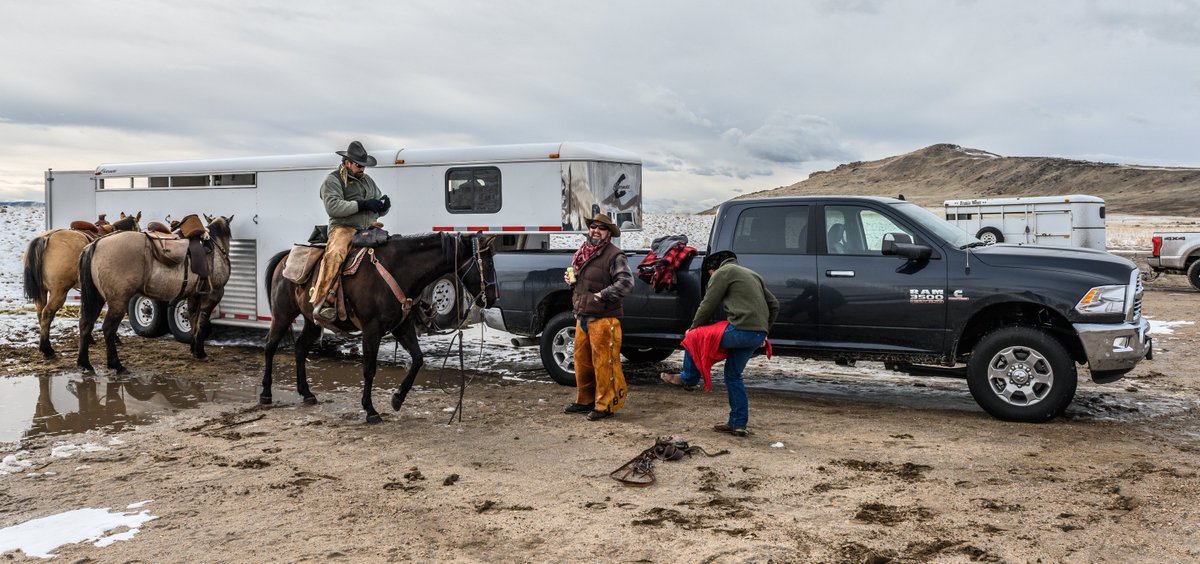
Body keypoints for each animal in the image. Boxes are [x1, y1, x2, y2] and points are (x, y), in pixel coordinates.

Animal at [22, 211, 141, 357]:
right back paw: (47, 349)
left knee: (40, 313)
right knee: (47, 313)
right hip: (59, 292)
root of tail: (46, 237)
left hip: (42, 292)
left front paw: (90, 338)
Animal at [77, 213, 234, 372]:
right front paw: (201, 353)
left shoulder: (194, 295)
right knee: (108, 328)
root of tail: (96, 244)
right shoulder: (213, 294)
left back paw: (85, 363)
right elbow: (201, 323)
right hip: (118, 301)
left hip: (97, 298)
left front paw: (194, 349)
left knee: (86, 324)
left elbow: (193, 320)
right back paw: (116, 365)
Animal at [262, 231, 501, 420]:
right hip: (283, 315)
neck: (399, 270)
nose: (493, 297)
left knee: (300, 348)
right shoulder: (371, 329)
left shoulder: (402, 327)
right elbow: (369, 369)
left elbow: (418, 359)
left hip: (312, 321)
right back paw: (265, 394)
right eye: (488, 263)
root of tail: (286, 256)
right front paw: (370, 410)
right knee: (270, 346)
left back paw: (307, 393)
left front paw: (397, 399)